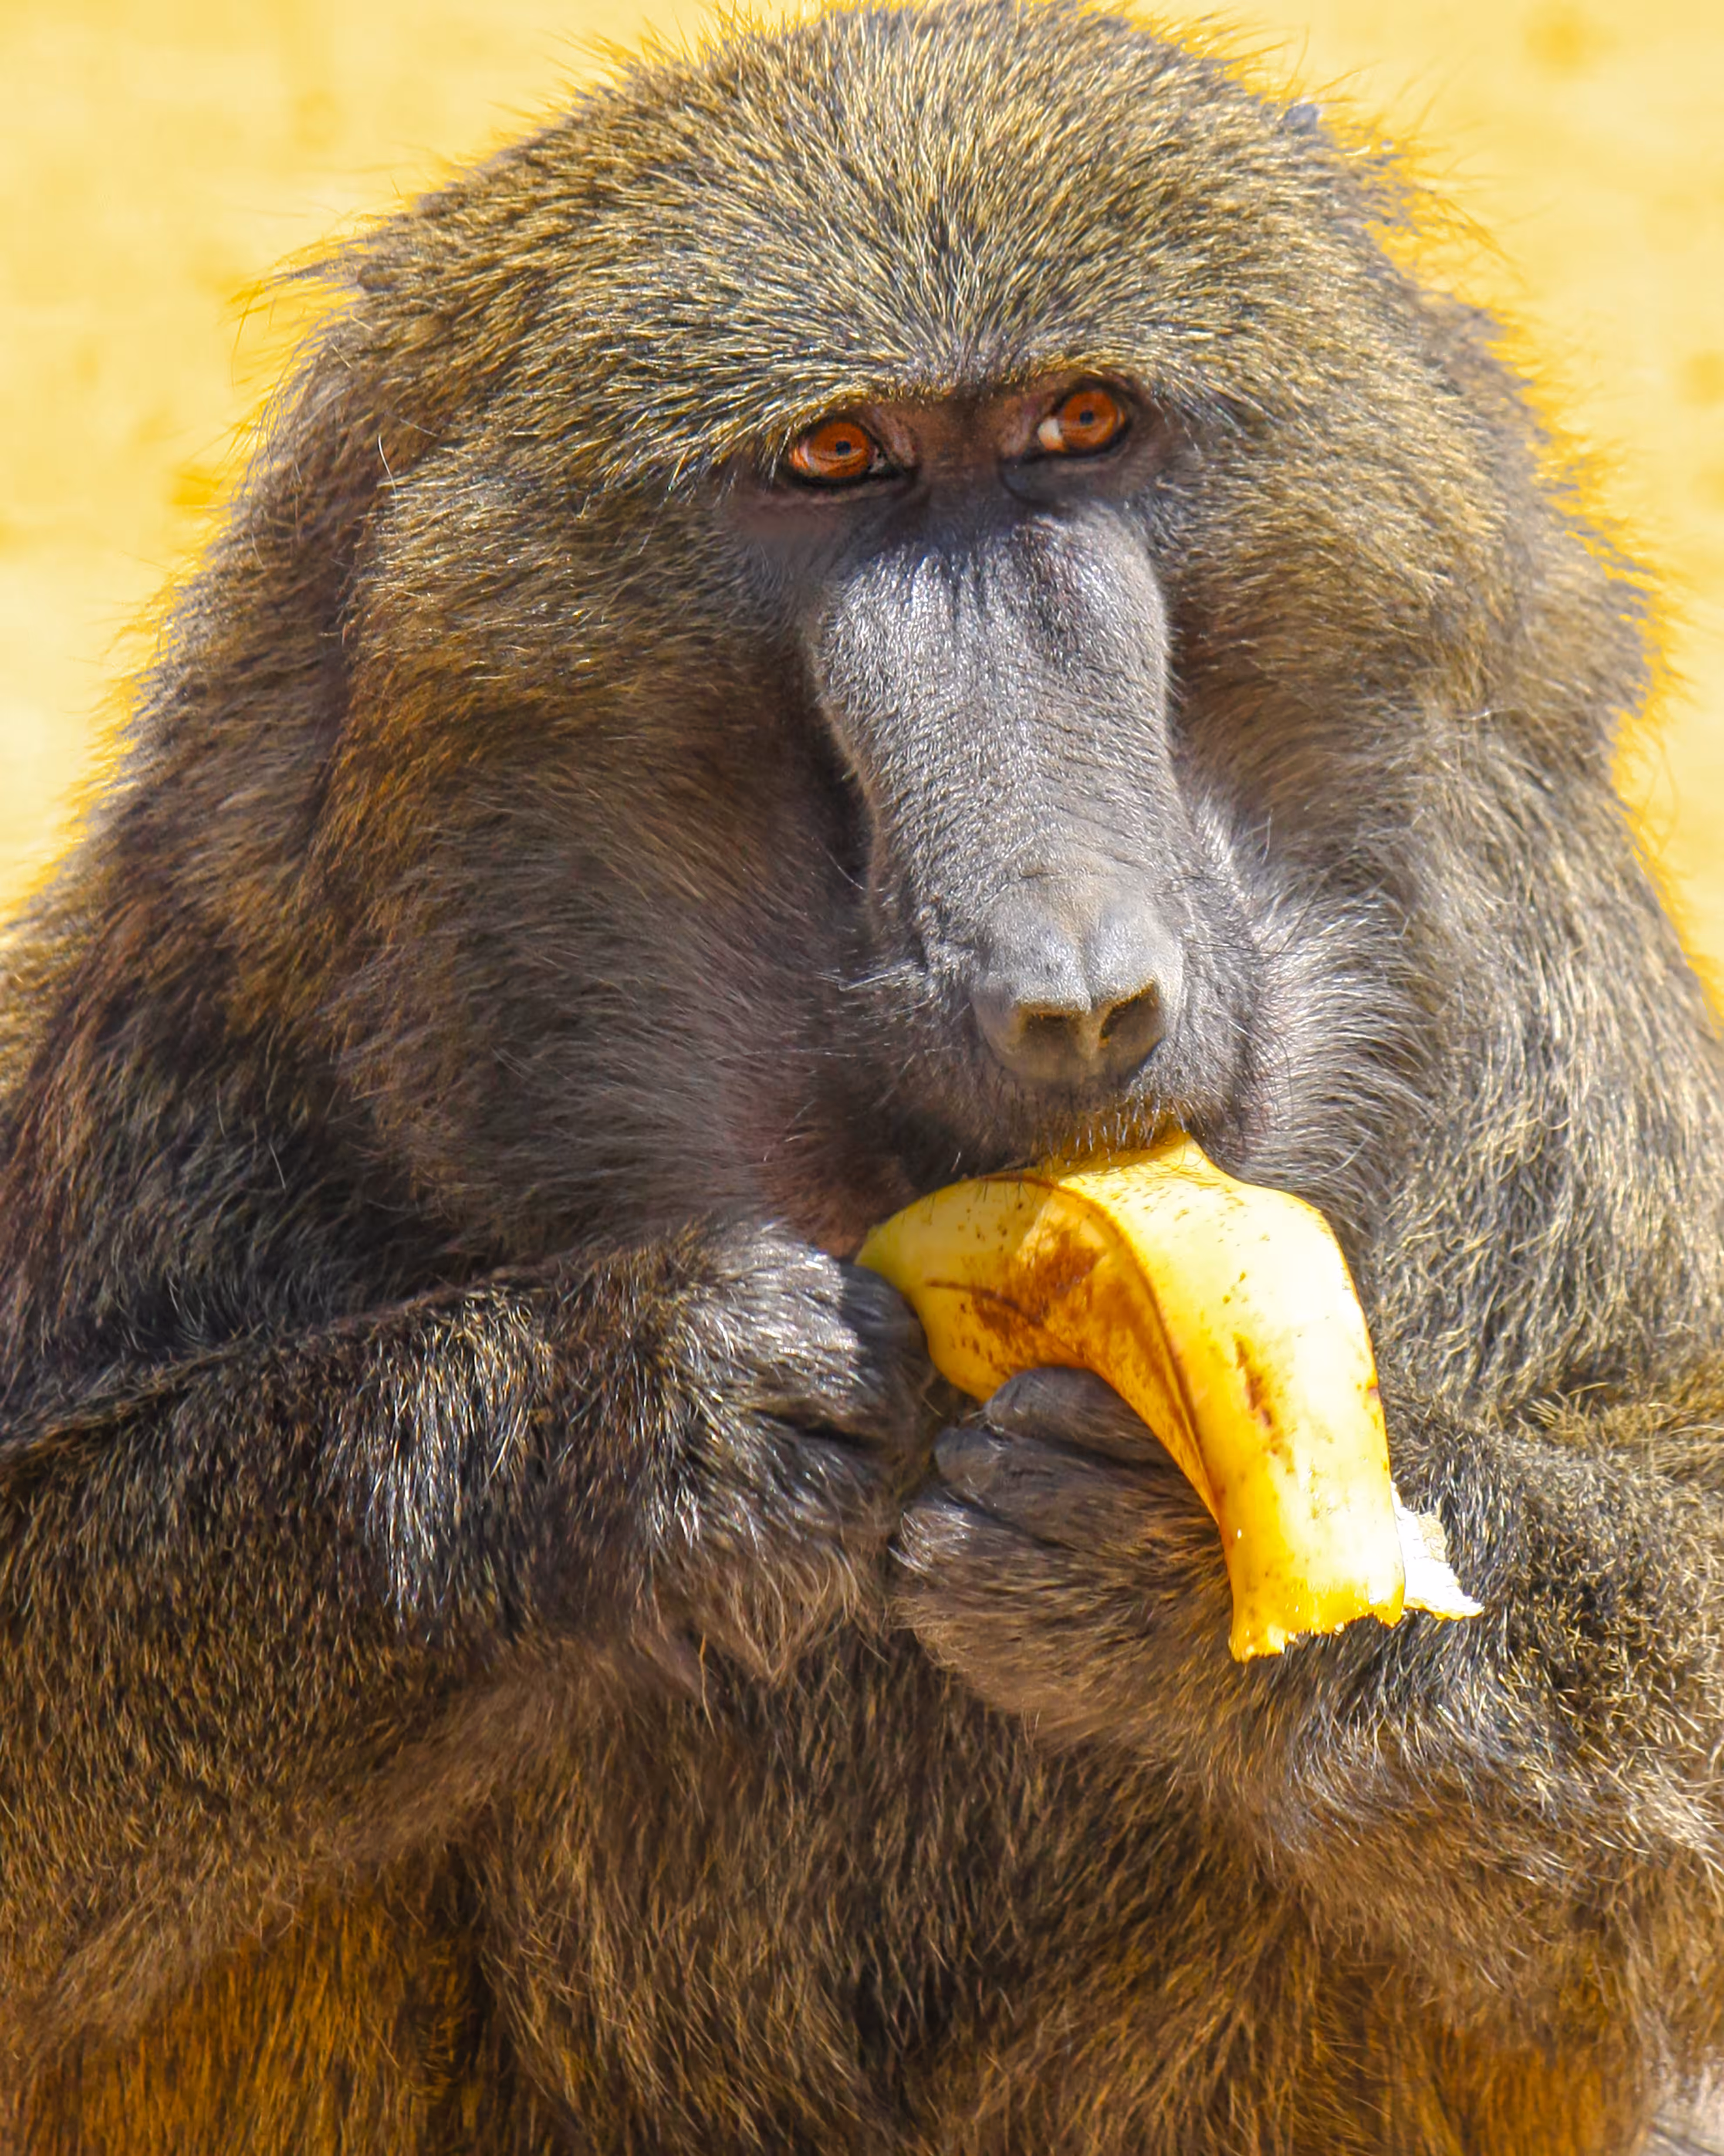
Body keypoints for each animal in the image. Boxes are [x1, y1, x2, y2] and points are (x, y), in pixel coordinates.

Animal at [2, 0, 1724, 2147]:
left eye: (1081, 424)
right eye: (836, 461)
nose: (1073, 996)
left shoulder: (1542, 1003)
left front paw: (1163, 1556)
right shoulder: (229, 976)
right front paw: (608, 1424)